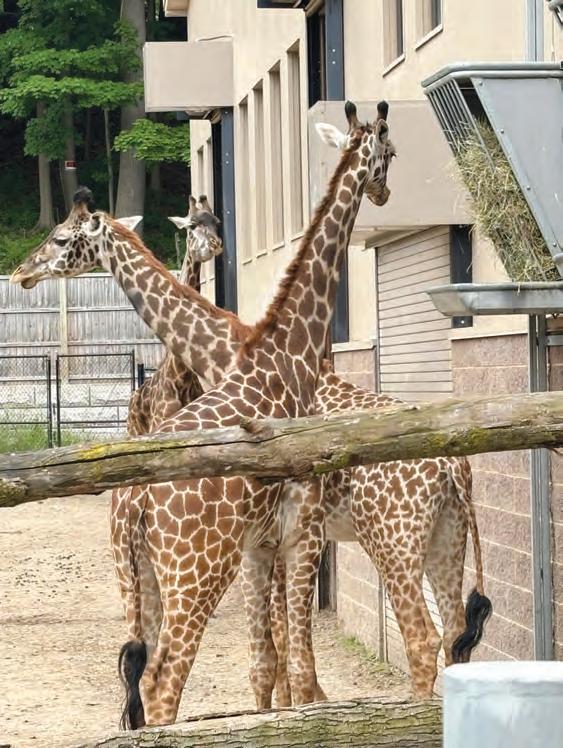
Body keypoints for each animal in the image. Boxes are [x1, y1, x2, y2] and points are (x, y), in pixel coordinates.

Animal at [11, 100, 396, 727]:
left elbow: (271, 664)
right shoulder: (299, 530)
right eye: (390, 150)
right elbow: (293, 664)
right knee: (162, 683)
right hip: (198, 572)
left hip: (139, 577)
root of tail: (134, 502)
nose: (22, 272)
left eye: (61, 237)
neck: (283, 349)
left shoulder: (268, 541)